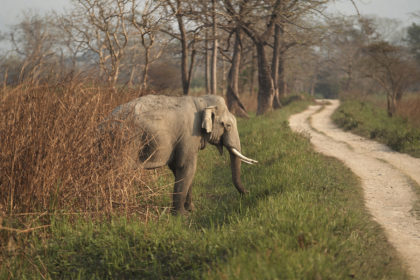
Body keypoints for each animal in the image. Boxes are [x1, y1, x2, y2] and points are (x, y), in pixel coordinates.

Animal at [105, 94, 256, 214]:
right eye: (228, 125)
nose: (248, 193)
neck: (201, 101)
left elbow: (178, 169)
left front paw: (191, 209)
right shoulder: (189, 135)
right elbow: (187, 167)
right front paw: (183, 215)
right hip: (127, 142)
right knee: (120, 171)